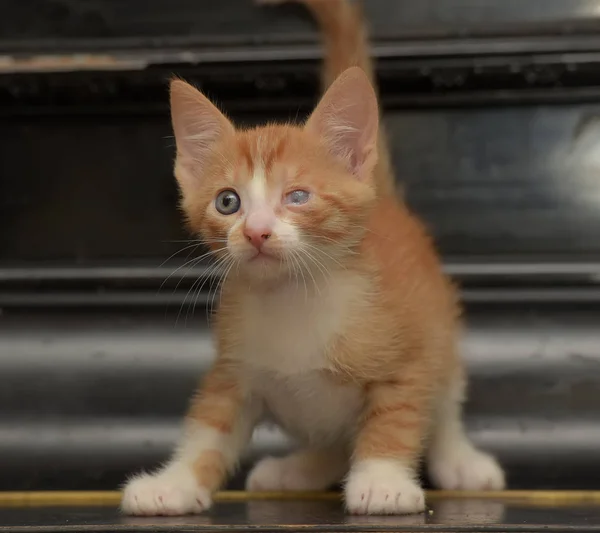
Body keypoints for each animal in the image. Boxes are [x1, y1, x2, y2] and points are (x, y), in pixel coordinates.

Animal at [122, 0, 506, 516]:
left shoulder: (407, 360)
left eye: (298, 196)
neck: (294, 297)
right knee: (332, 442)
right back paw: (298, 470)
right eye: (228, 202)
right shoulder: (232, 371)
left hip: (442, 329)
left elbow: (396, 417)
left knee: (443, 406)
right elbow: (207, 431)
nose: (256, 231)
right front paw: (174, 483)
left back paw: (459, 461)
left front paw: (383, 481)